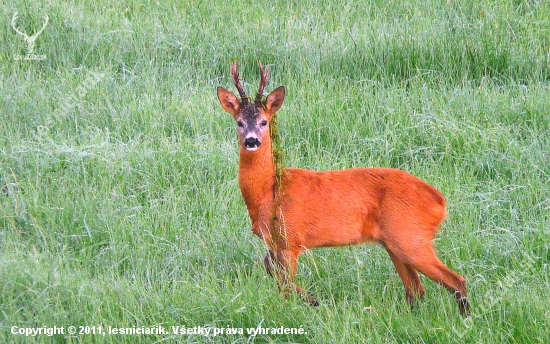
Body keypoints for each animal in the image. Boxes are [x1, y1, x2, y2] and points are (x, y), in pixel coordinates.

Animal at [218, 61, 472, 314]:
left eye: (264, 121)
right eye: (239, 122)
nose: (252, 141)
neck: (269, 192)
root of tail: (439, 201)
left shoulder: (291, 238)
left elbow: (285, 285)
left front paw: (311, 302)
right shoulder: (275, 242)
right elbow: (272, 272)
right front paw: (312, 299)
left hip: (410, 236)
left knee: (455, 280)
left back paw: (465, 317)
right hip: (394, 242)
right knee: (416, 289)